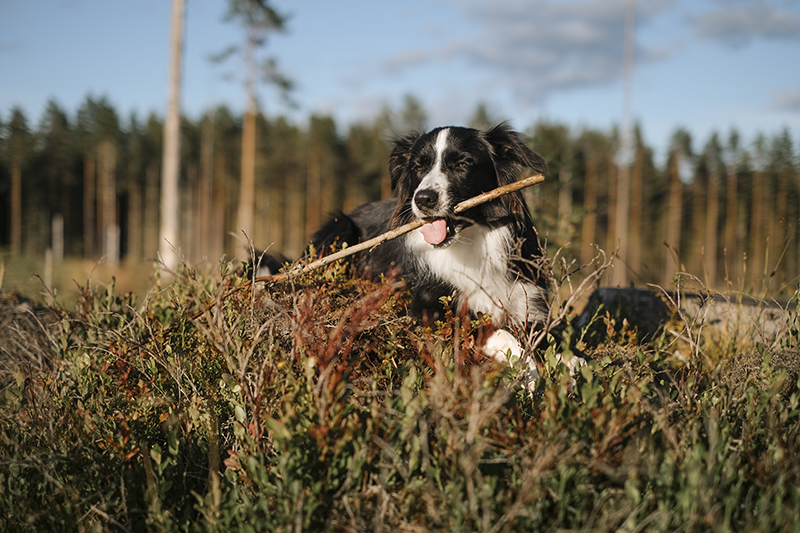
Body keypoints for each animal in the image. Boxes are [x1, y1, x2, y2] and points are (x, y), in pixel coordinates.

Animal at [310, 123, 560, 378]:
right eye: (418, 167)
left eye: (462, 164)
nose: (423, 199)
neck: (473, 241)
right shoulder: (427, 307)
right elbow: (500, 335)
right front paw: (530, 375)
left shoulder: (532, 303)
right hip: (340, 224)